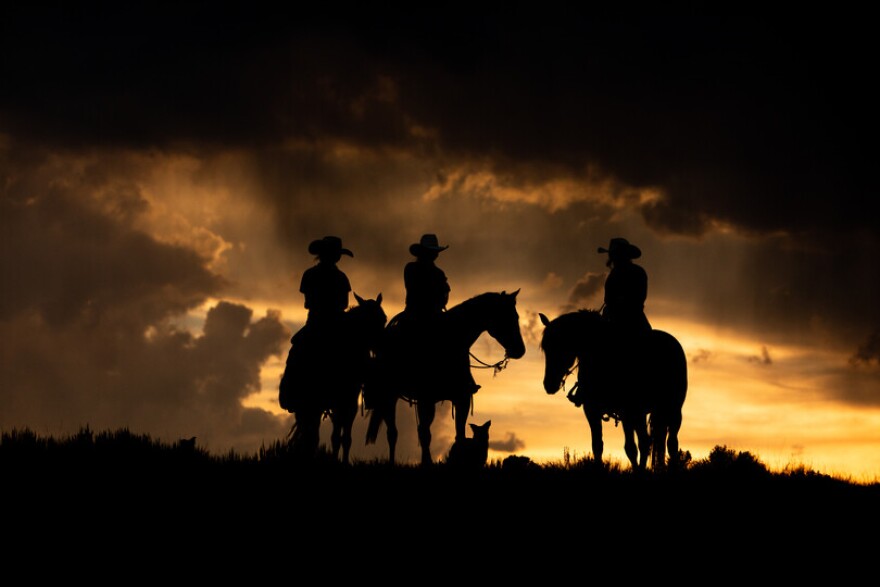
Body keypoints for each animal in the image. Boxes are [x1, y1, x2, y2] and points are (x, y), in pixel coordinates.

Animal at [276, 294, 384, 464]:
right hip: (307, 407)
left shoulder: (348, 404)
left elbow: (343, 438)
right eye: (369, 321)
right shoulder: (327, 404)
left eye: (383, 319)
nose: (382, 347)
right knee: (310, 437)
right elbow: (329, 437)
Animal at [362, 292, 524, 466]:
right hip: (388, 397)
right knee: (392, 432)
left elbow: (460, 434)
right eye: (506, 316)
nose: (520, 350)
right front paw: (427, 463)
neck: (447, 342)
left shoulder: (462, 397)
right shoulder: (425, 399)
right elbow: (425, 434)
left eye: (516, 316)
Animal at [536, 310, 688, 470]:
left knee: (669, 443)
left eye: (561, 346)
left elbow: (640, 444)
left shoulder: (631, 410)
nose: (549, 384)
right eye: (546, 348)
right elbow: (599, 445)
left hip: (671, 410)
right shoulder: (592, 410)